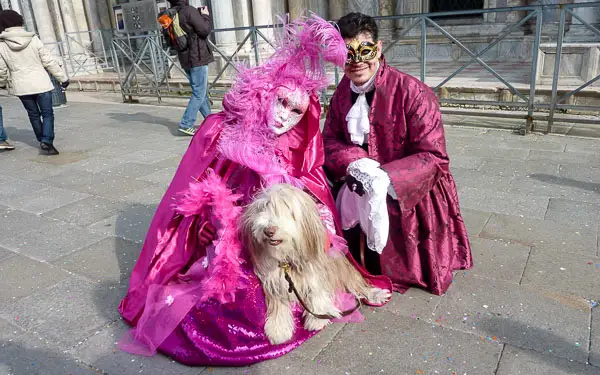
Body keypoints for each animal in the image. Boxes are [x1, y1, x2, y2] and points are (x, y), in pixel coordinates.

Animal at [241, 184, 392, 346]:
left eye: (288, 210)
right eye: (263, 208)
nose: (268, 231)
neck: (288, 257)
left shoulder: (316, 271)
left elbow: (317, 291)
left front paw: (317, 318)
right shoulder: (274, 281)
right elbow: (279, 305)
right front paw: (278, 329)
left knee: (358, 284)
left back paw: (375, 294)